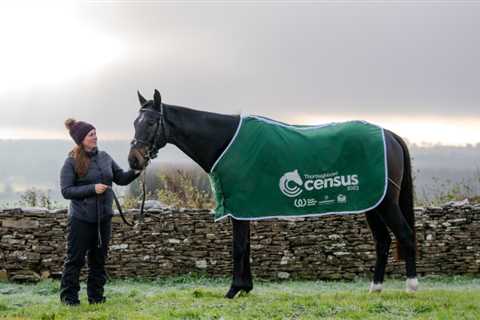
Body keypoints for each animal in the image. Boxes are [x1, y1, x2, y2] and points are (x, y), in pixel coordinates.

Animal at [127, 89, 416, 298]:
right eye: (134, 122)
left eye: (151, 122)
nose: (133, 160)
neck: (225, 142)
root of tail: (390, 135)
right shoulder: (245, 208)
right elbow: (247, 246)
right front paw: (246, 288)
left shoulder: (240, 206)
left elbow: (238, 247)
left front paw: (233, 290)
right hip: (371, 203)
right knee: (382, 241)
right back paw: (375, 288)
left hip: (386, 203)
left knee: (405, 234)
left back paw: (411, 286)